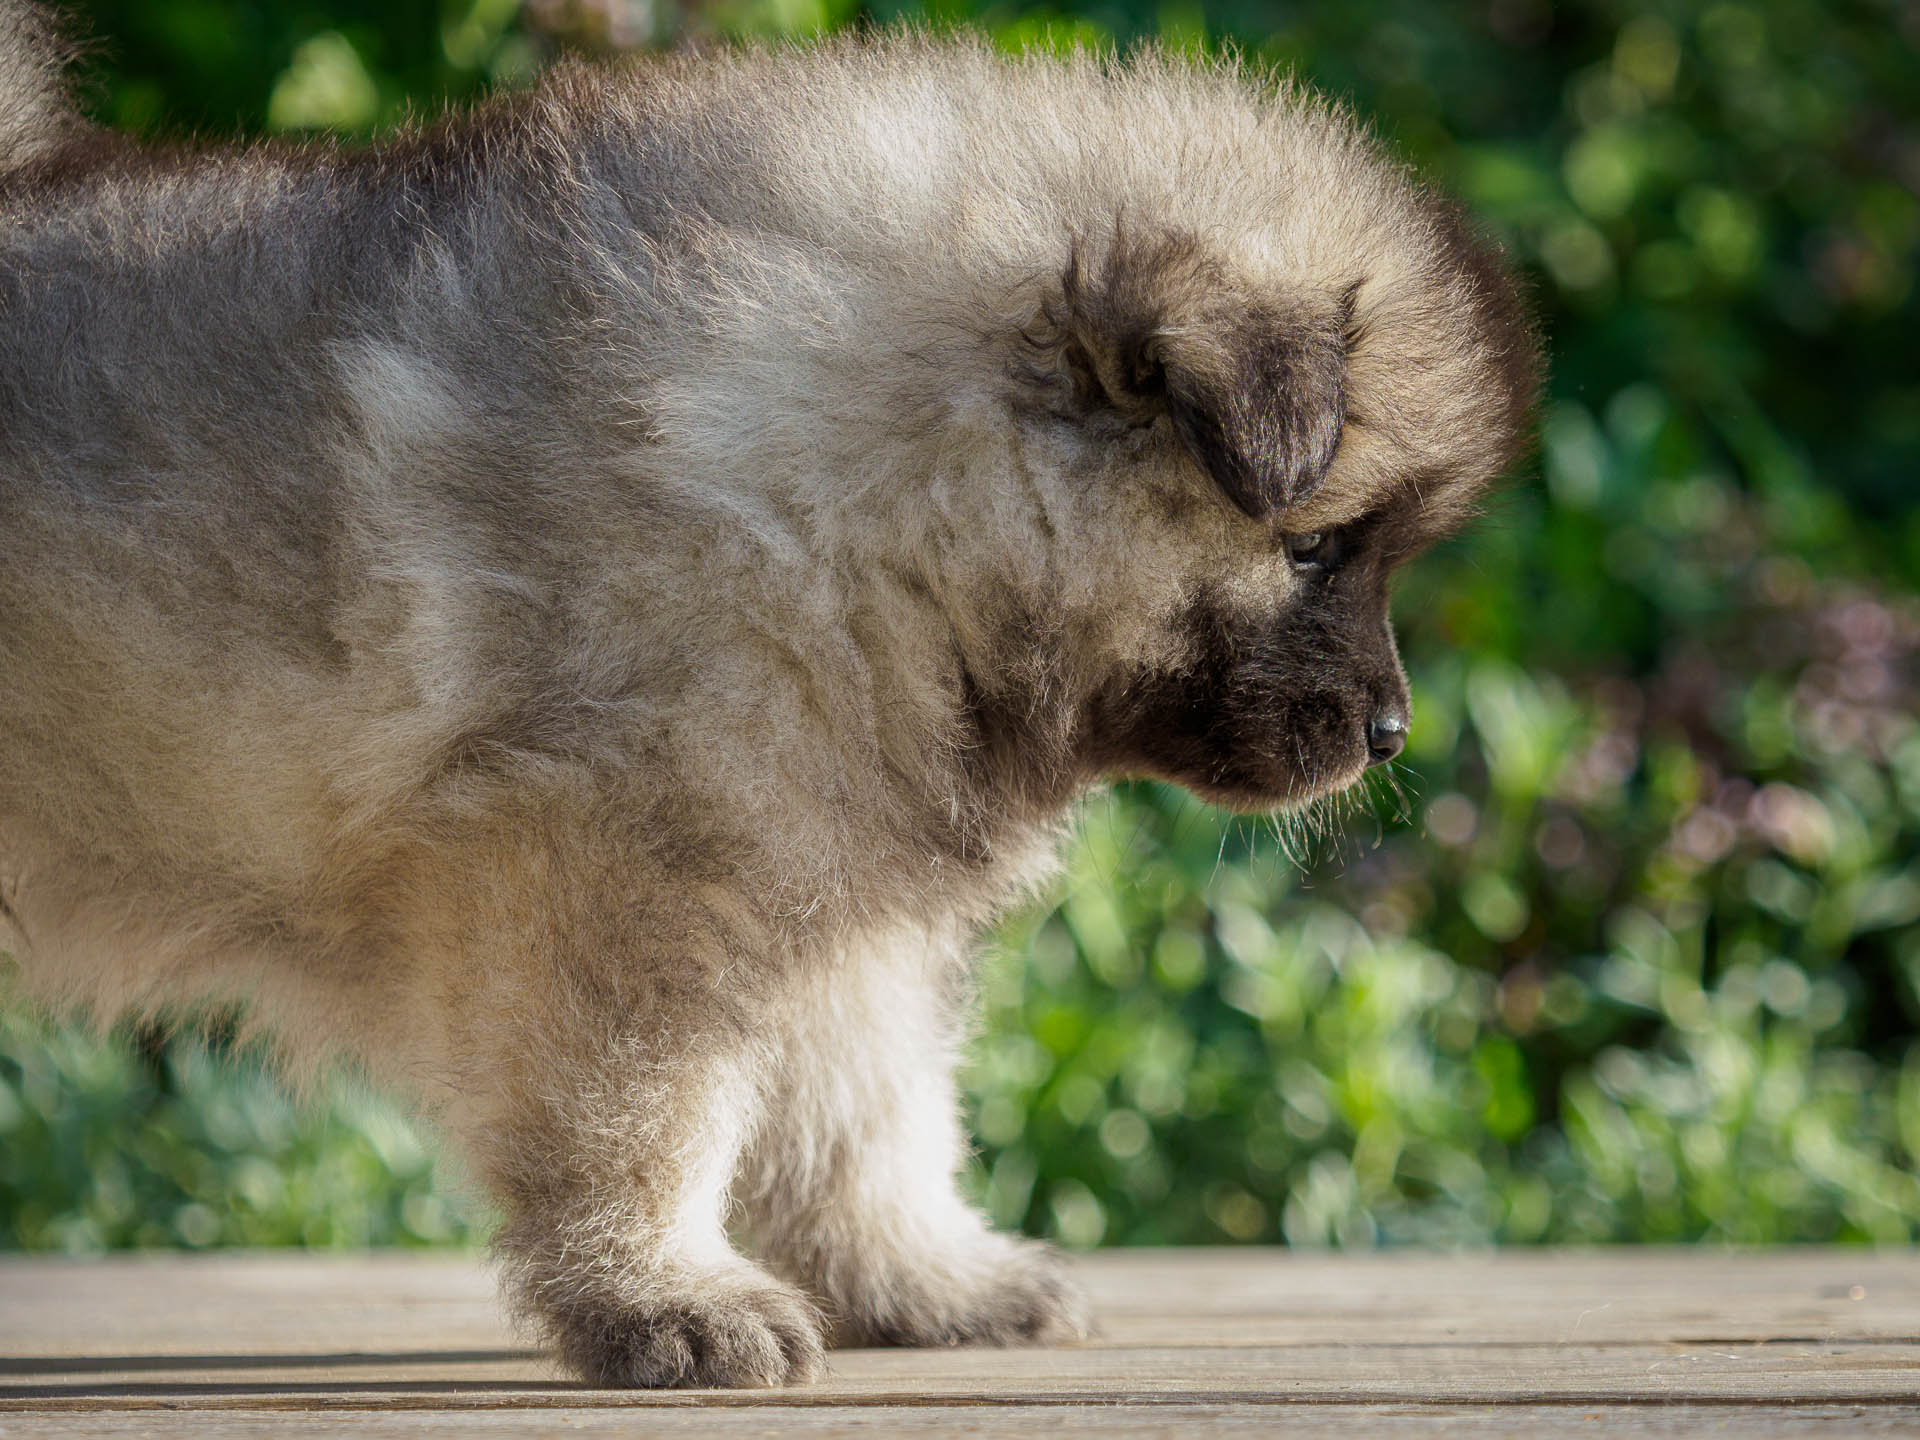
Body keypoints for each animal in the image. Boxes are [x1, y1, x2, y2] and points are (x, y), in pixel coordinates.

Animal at [0, 2, 1536, 1397]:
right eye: (1320, 547)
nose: (1392, 734)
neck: (864, 488)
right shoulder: (611, 879)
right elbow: (646, 1120)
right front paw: (667, 1297)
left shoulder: (832, 895)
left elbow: (870, 1119)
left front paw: (929, 1278)